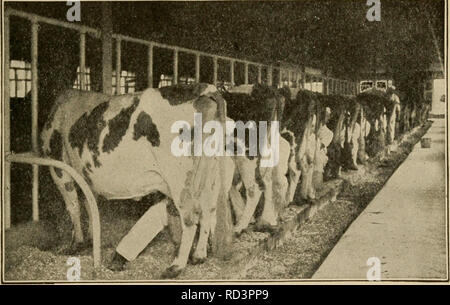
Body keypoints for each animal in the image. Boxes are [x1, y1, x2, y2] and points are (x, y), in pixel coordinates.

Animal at [41, 82, 236, 276]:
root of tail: (205, 89)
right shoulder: (87, 176)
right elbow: (90, 204)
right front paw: (89, 238)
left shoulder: (58, 167)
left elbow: (73, 205)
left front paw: (76, 244)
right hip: (210, 175)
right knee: (208, 209)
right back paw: (199, 256)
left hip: (179, 178)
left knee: (190, 216)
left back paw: (176, 266)